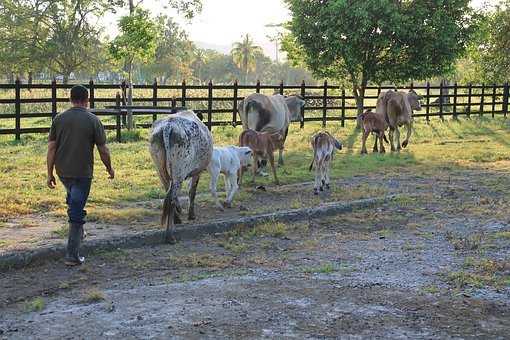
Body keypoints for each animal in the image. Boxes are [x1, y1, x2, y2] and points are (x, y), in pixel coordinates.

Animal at [148, 110, 212, 243]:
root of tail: (168, 125)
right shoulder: (197, 172)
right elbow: (192, 192)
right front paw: (191, 215)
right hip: (179, 173)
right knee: (171, 198)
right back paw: (170, 236)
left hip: (161, 171)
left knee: (168, 194)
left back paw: (176, 219)